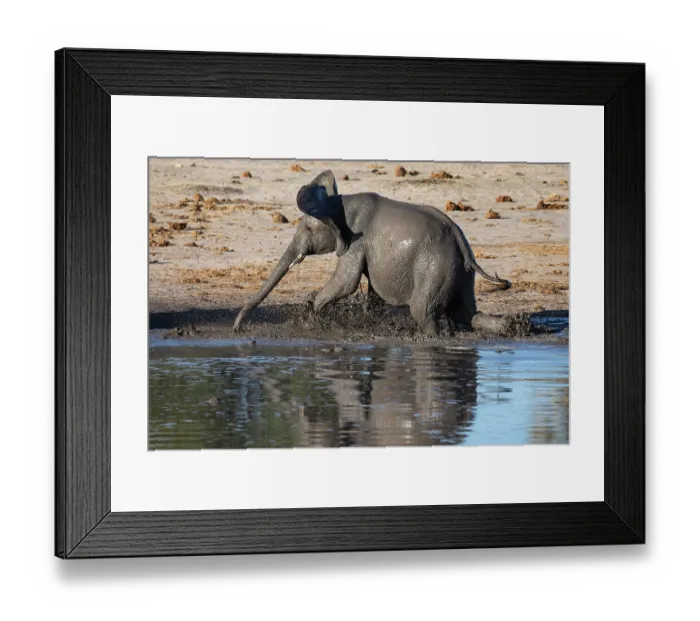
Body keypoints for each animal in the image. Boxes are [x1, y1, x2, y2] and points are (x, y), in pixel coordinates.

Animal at [233, 170, 510, 335]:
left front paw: (311, 313)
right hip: (460, 270)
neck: (338, 203)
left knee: (423, 311)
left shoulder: (356, 241)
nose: (237, 330)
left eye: (309, 228)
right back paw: (510, 326)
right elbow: (371, 291)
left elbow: (346, 282)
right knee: (465, 313)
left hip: (436, 266)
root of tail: (459, 238)